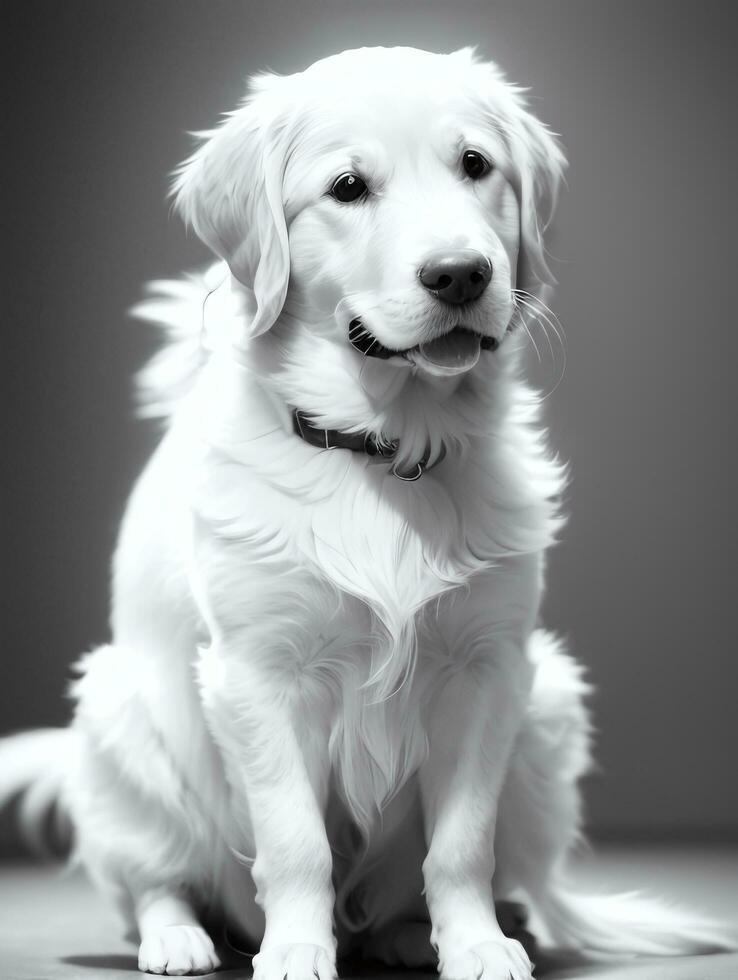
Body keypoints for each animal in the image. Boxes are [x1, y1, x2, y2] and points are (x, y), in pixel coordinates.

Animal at [0, 44, 732, 980]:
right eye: (347, 187)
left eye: (475, 165)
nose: (460, 273)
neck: (386, 449)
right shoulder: (260, 675)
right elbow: (294, 843)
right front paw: (295, 950)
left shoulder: (488, 670)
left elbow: (461, 845)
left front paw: (476, 944)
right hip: (116, 717)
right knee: (154, 882)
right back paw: (180, 939)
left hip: (550, 704)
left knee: (422, 893)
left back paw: (429, 934)